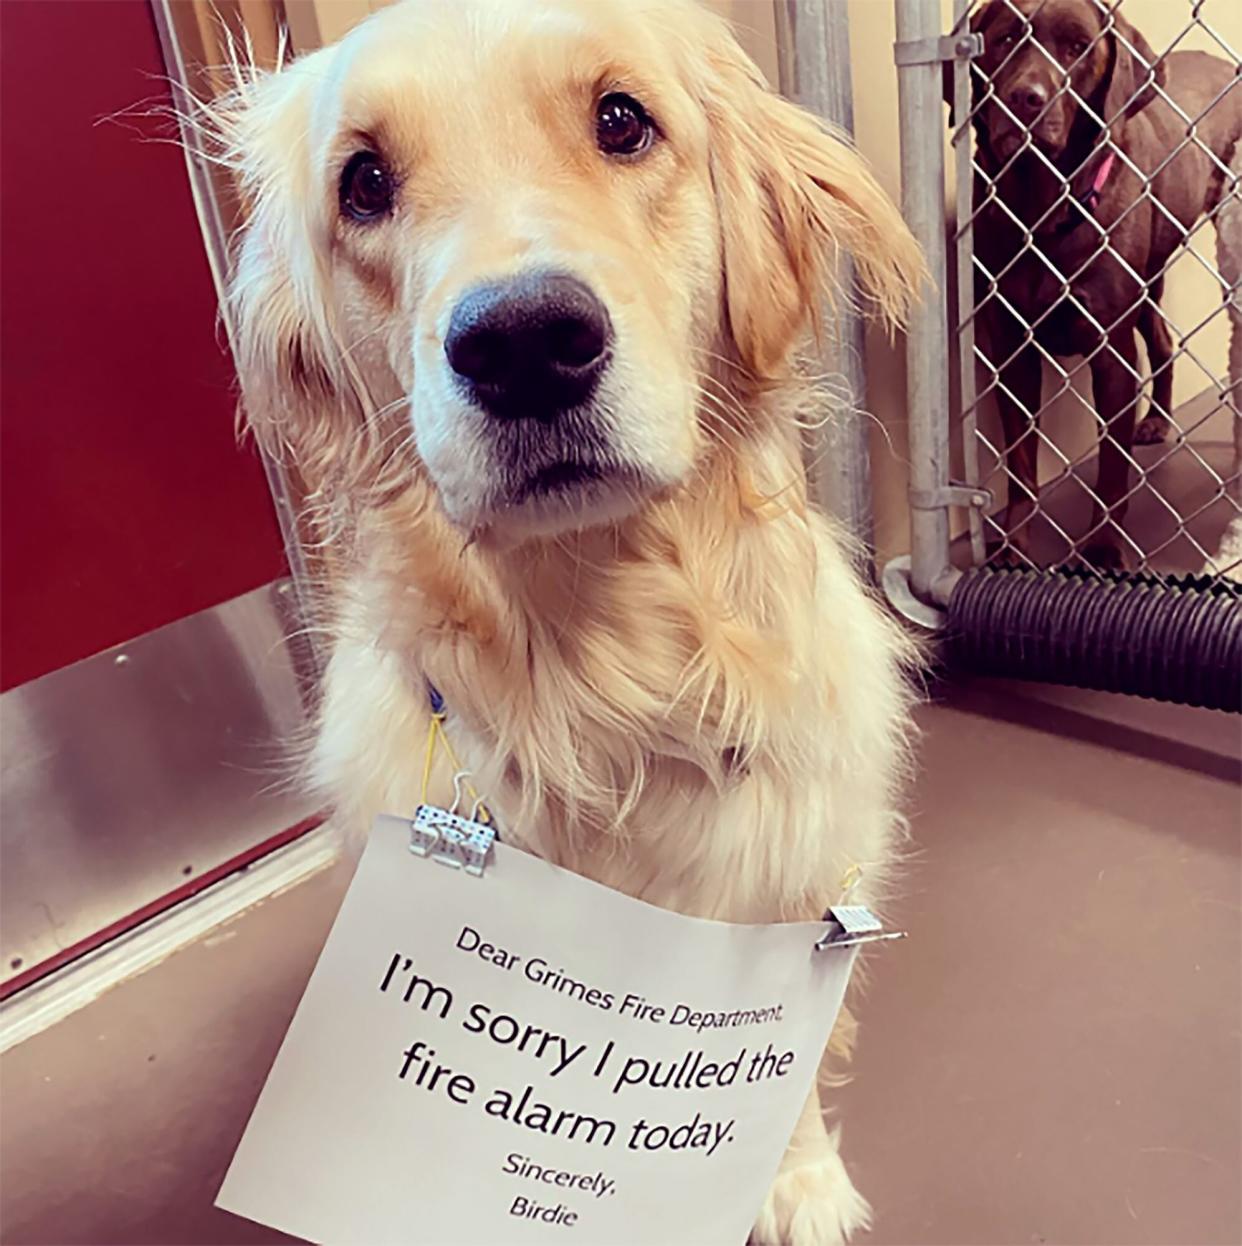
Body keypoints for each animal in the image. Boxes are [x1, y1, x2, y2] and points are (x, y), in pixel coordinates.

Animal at [971, 0, 1240, 568]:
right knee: (1160, 338)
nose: (1025, 98)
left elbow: (1111, 465)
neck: (1042, 210)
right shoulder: (1011, 348)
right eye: (1004, 39)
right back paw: (1157, 420)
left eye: (1078, 47)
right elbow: (1021, 461)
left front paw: (1101, 547)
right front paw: (1014, 544)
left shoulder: (1111, 354)